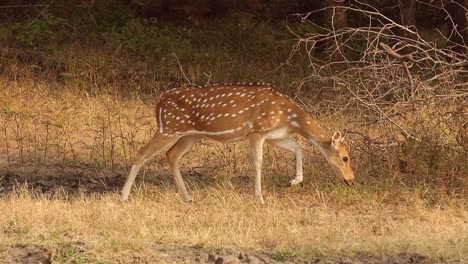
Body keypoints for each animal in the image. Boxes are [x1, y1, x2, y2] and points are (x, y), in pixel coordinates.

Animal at [120, 82, 354, 204]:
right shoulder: (257, 131)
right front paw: (260, 198)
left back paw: (188, 197)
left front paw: (294, 181)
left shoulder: (276, 135)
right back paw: (123, 196)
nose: (351, 180)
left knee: (171, 155)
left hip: (190, 135)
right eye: (345, 157)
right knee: (141, 153)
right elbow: (258, 163)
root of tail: (159, 101)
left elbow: (298, 147)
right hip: (169, 128)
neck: (289, 117)